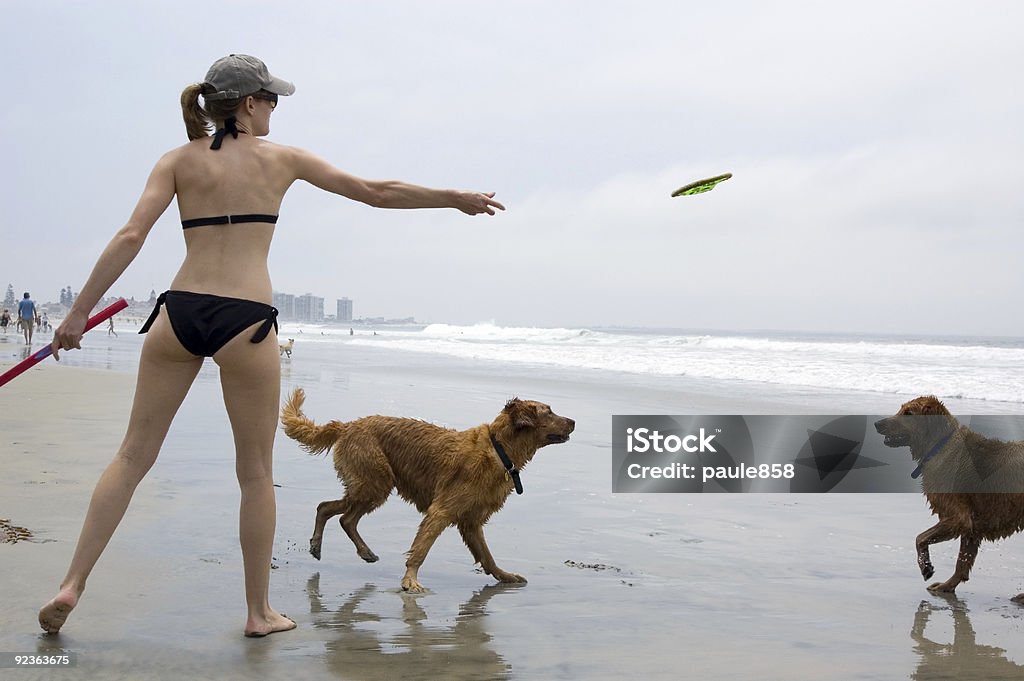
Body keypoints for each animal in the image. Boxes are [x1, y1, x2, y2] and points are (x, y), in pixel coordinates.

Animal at [280, 387, 577, 589]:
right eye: (549, 411)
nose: (574, 421)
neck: (499, 449)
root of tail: (348, 425)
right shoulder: (441, 511)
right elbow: (421, 549)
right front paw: (410, 580)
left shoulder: (471, 521)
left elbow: (487, 556)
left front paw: (504, 576)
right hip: (375, 482)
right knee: (337, 513)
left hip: (370, 484)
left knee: (337, 513)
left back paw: (350, 550)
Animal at [872, 393, 1024, 602]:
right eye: (900, 408)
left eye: (909, 413)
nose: (877, 423)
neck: (939, 447)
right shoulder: (972, 525)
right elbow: (962, 562)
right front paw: (946, 586)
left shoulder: (958, 516)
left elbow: (920, 537)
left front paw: (926, 566)